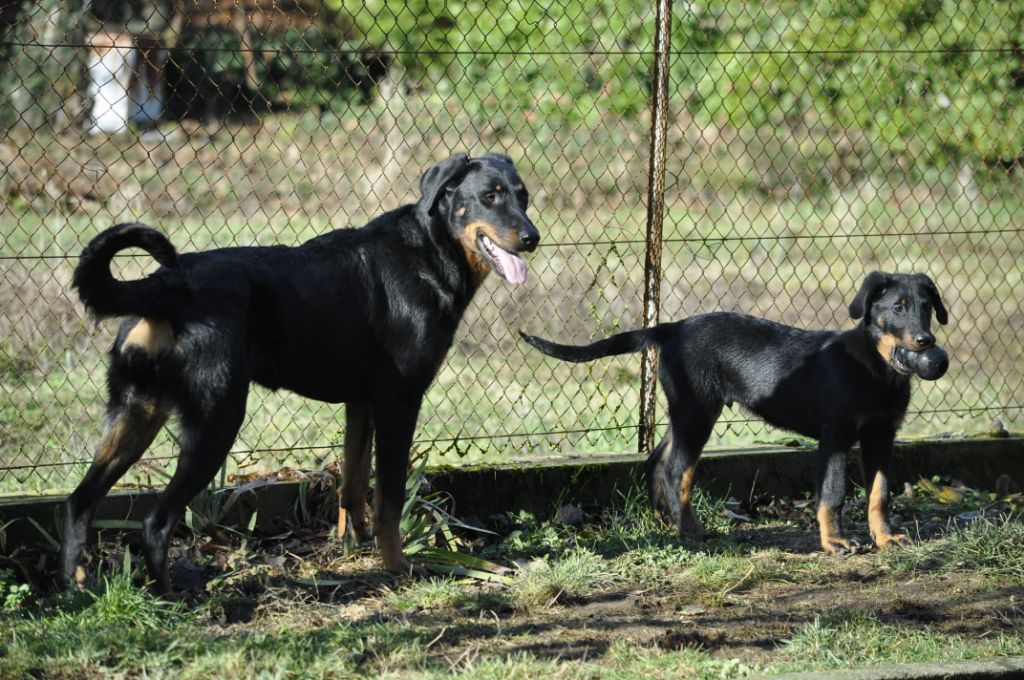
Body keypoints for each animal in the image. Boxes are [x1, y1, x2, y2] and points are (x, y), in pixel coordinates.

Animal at [61, 152, 544, 589]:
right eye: (489, 197)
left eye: (523, 197)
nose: (532, 237)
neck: (430, 251)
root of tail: (164, 284)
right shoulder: (399, 402)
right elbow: (389, 499)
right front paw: (397, 568)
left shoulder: (361, 403)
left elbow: (353, 486)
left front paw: (355, 547)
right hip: (215, 420)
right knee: (156, 520)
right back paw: (174, 598)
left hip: (135, 412)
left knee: (79, 502)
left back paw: (78, 587)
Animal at [524, 274, 946, 557]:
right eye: (898, 308)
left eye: (927, 307)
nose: (926, 341)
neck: (877, 369)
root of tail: (671, 329)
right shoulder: (836, 437)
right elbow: (833, 494)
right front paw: (835, 543)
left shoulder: (882, 436)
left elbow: (880, 494)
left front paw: (886, 537)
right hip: (697, 411)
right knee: (676, 471)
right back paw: (690, 531)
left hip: (687, 411)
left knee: (657, 461)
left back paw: (668, 520)